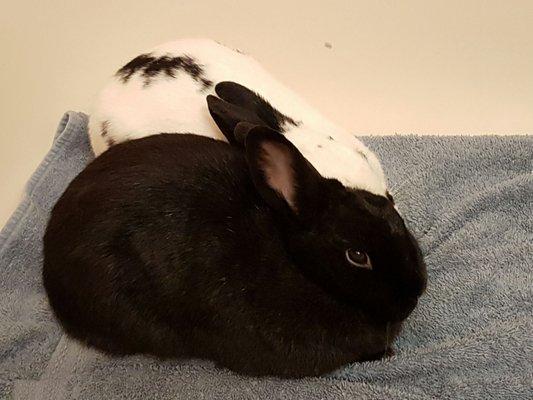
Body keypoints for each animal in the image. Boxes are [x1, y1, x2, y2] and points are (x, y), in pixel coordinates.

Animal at [41, 120, 426, 376]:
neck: (298, 264)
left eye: (390, 210)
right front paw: (387, 353)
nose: (413, 296)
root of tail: (47, 258)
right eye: (357, 256)